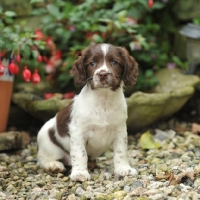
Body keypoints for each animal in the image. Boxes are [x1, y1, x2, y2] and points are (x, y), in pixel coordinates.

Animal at [36, 43, 138, 181]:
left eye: (114, 62)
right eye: (92, 63)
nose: (102, 74)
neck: (103, 100)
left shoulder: (120, 130)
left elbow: (121, 151)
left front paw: (124, 169)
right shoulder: (78, 132)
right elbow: (80, 153)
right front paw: (79, 173)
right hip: (47, 141)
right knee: (42, 159)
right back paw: (54, 165)